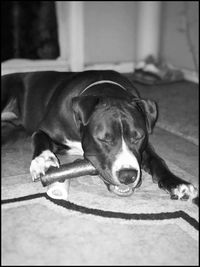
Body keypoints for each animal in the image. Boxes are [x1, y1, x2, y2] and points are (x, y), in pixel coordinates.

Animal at [1, 70, 198, 200]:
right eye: (104, 138)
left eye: (138, 137)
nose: (128, 176)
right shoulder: (44, 130)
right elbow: (40, 138)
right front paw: (44, 161)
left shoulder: (145, 146)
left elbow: (157, 160)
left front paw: (177, 183)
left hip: (13, 130)